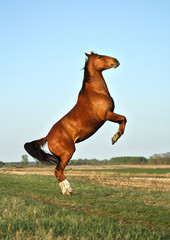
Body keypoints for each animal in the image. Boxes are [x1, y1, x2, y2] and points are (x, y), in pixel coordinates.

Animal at [24, 52, 127, 195]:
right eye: (99, 57)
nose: (115, 61)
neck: (95, 92)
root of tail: (47, 137)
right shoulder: (106, 115)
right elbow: (123, 119)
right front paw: (115, 138)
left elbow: (123, 119)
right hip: (68, 152)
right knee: (58, 171)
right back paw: (69, 190)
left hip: (61, 156)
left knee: (57, 172)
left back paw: (65, 191)